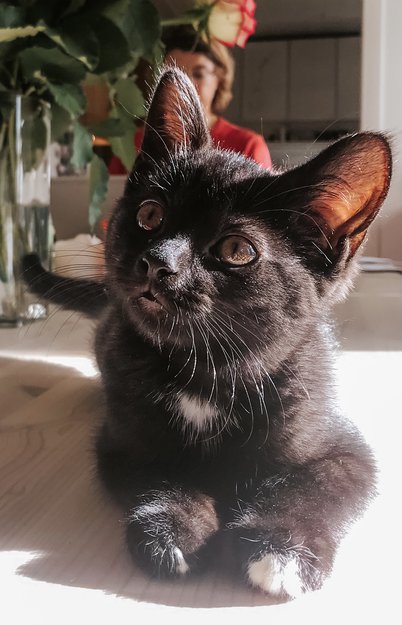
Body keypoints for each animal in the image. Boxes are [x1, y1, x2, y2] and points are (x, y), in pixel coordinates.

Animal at [23, 67, 392, 600]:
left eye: (236, 249)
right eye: (150, 215)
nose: (158, 262)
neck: (205, 370)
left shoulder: (346, 447)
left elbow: (315, 486)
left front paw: (282, 549)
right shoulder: (121, 440)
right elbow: (162, 470)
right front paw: (174, 529)